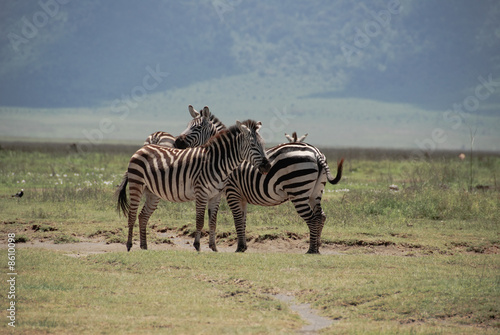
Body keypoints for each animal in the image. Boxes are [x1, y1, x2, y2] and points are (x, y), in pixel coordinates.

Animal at [115, 120, 272, 252]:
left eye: (263, 144)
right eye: (253, 145)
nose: (267, 166)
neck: (217, 163)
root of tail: (142, 148)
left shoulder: (216, 195)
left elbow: (213, 222)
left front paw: (214, 248)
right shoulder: (201, 192)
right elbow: (200, 220)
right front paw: (197, 246)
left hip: (152, 193)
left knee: (143, 216)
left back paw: (144, 246)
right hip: (136, 184)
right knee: (132, 215)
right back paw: (129, 245)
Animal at [207, 142, 344, 255]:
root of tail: (316, 153)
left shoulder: (232, 191)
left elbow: (237, 220)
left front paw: (240, 247)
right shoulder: (241, 197)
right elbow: (242, 220)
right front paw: (243, 246)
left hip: (298, 189)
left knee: (313, 219)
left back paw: (311, 250)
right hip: (315, 192)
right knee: (321, 216)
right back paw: (318, 246)